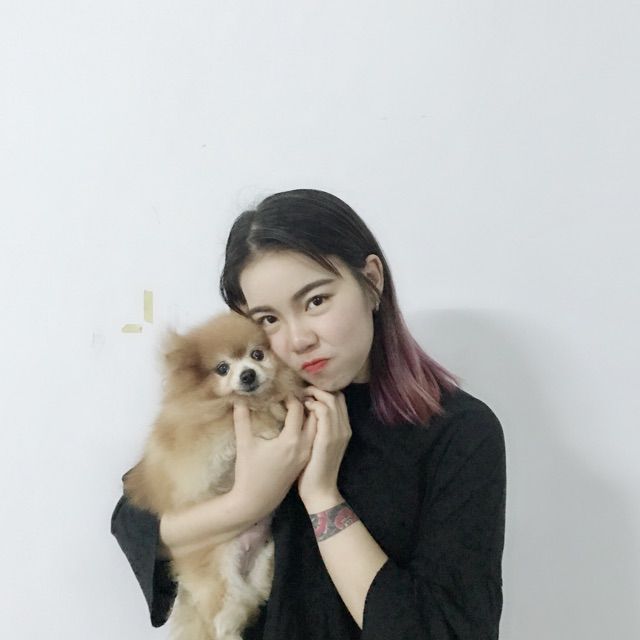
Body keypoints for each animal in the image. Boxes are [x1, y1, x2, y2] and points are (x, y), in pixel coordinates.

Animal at [123, 311, 306, 640]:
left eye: (257, 355)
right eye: (222, 368)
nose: (247, 375)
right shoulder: (204, 449)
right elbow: (236, 418)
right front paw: (268, 419)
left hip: (262, 565)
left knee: (245, 604)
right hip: (220, 582)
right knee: (220, 623)